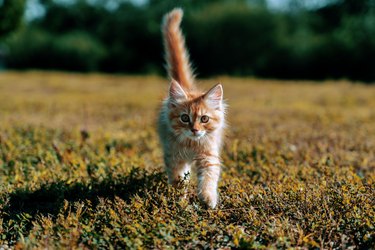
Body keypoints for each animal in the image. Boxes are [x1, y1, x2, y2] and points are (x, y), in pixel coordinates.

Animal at [158, 7, 226, 208]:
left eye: (204, 119)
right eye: (184, 118)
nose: (195, 130)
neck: (191, 145)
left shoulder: (209, 157)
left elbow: (208, 179)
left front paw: (208, 199)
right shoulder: (174, 158)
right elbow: (178, 180)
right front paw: (179, 199)